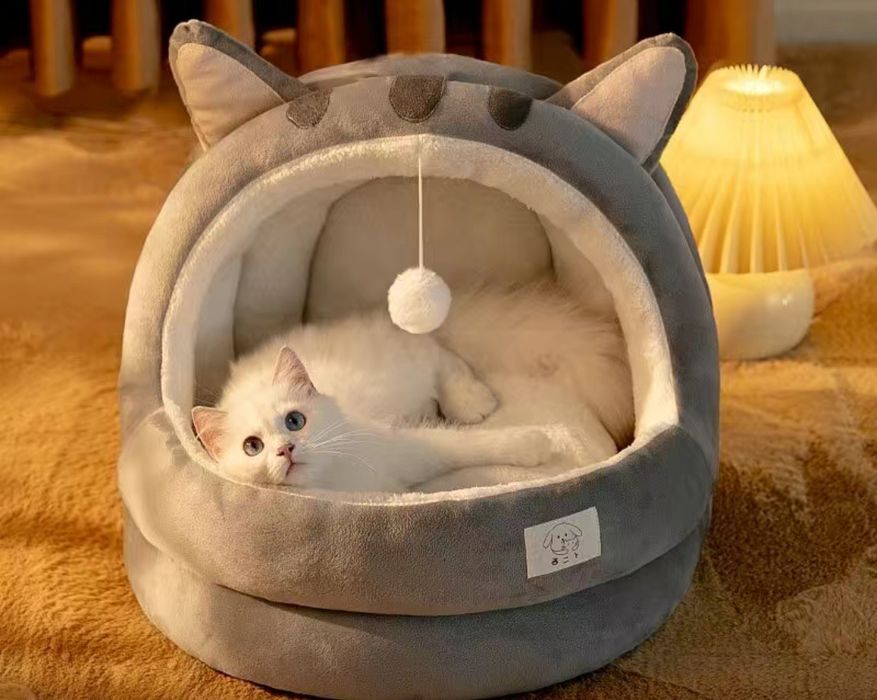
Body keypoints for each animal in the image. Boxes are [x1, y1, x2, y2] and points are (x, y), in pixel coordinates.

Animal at [192, 322, 553, 492]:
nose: (286, 449)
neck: (336, 484)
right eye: (252, 447)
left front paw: (537, 443)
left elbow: (474, 445)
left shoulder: (413, 447)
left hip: (408, 366)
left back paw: (474, 403)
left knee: (441, 355)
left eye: (294, 421)